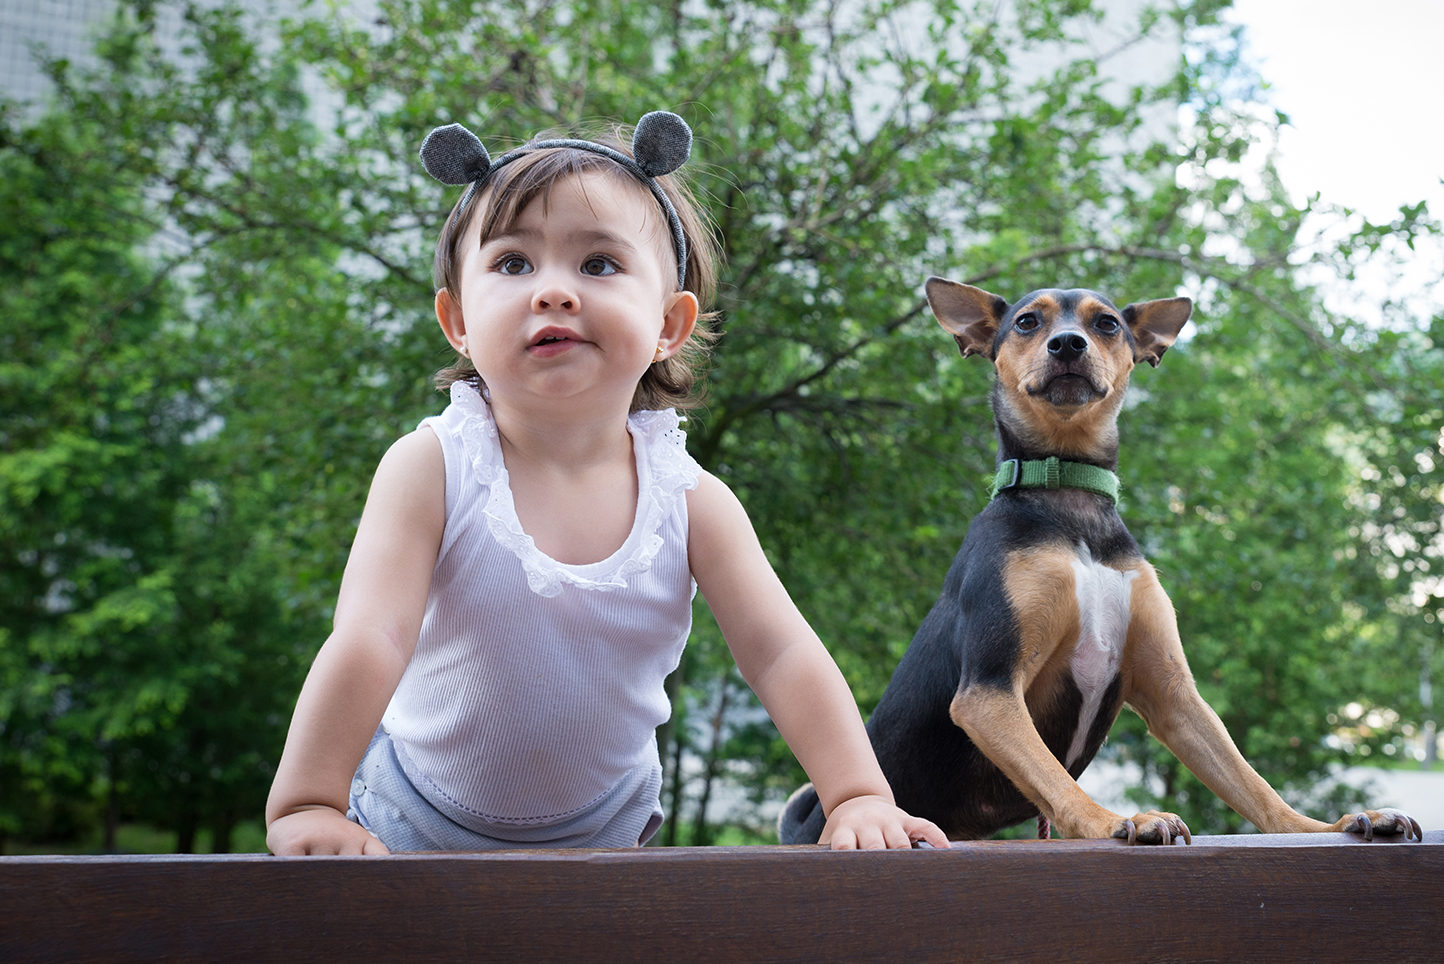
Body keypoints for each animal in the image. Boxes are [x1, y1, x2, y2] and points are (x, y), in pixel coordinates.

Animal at [779, 278, 1420, 842]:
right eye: (1027, 322)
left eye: (1107, 324)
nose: (1067, 344)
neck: (1071, 497)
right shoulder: (990, 689)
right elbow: (1056, 779)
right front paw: (1114, 821)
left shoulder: (1174, 695)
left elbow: (1250, 783)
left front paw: (1321, 826)